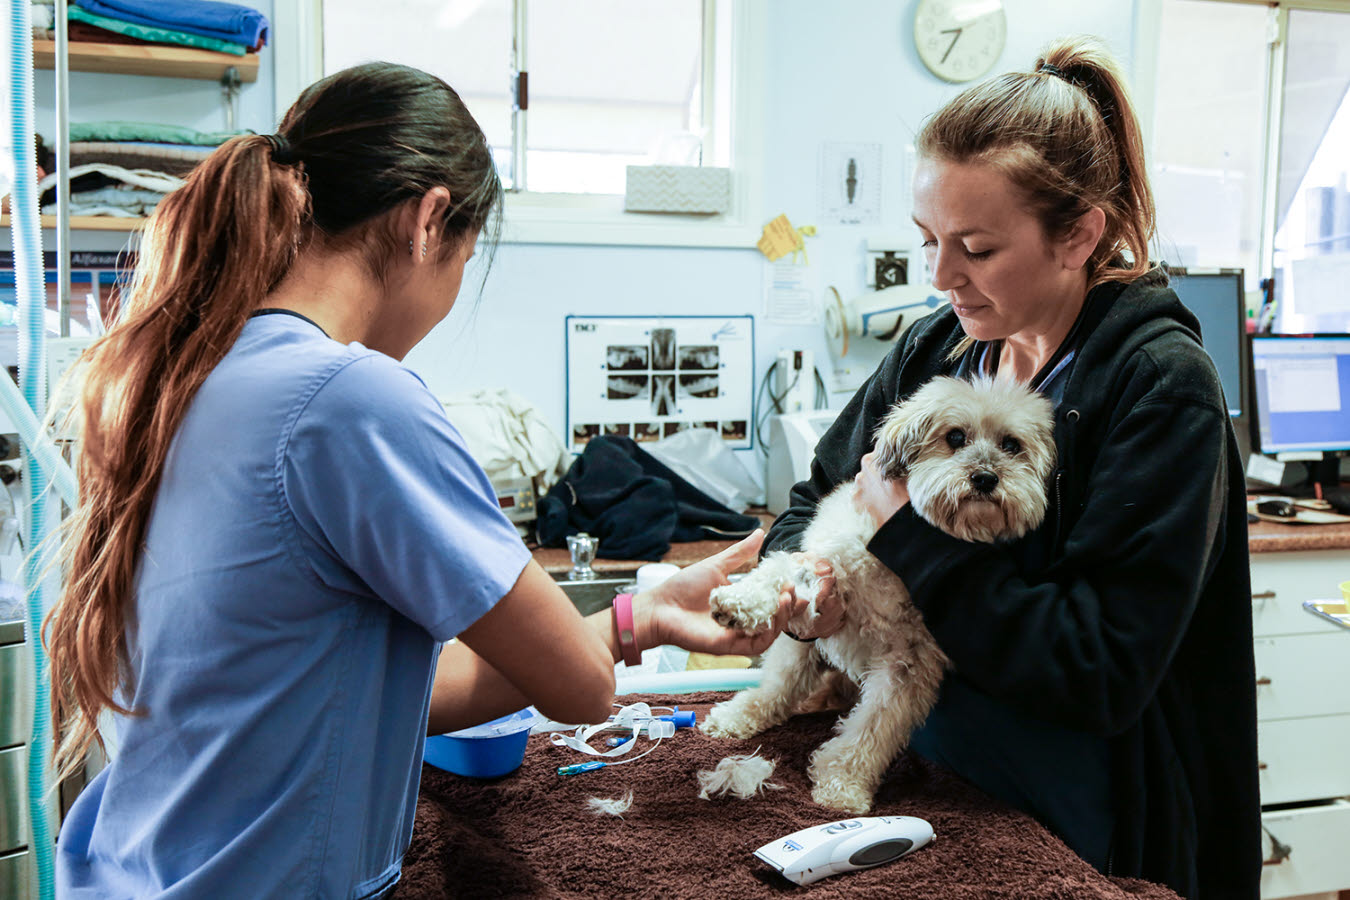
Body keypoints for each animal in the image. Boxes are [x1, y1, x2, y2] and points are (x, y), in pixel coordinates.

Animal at [702, 375, 1058, 814]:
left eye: (1011, 444)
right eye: (955, 437)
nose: (986, 478)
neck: (894, 570)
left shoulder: (909, 665)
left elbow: (873, 729)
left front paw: (843, 783)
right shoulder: (826, 570)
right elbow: (783, 571)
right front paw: (740, 602)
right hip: (802, 647)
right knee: (777, 689)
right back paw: (738, 715)